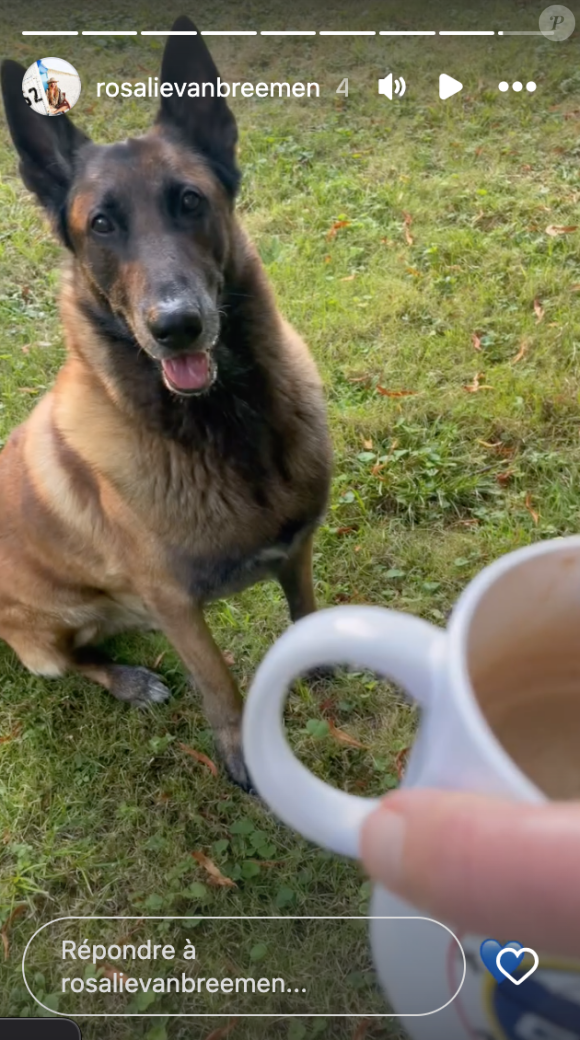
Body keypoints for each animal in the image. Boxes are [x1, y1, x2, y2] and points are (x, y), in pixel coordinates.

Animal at [0, 16, 334, 786]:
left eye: (190, 201)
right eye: (101, 224)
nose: (176, 324)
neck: (223, 430)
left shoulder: (297, 548)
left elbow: (303, 612)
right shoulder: (178, 605)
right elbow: (218, 682)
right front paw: (241, 754)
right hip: (43, 642)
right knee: (77, 659)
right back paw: (128, 680)